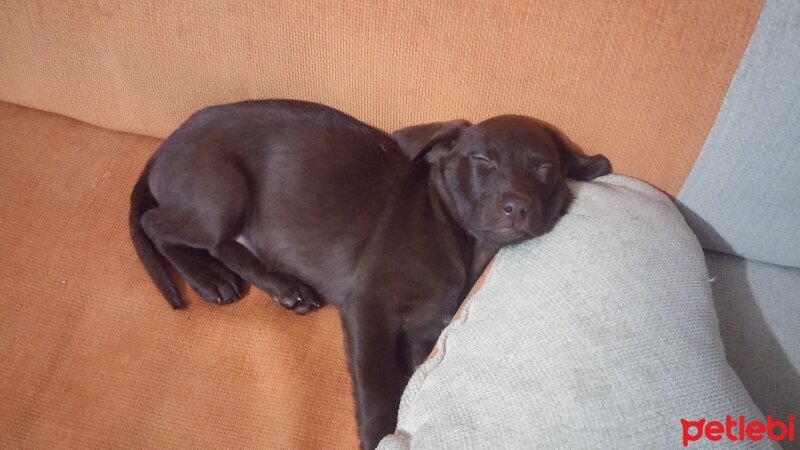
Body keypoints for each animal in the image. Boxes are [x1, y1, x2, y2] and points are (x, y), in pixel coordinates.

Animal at [128, 99, 608, 450]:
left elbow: (412, 381)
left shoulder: (422, 334)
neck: (459, 240)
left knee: (225, 243)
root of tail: (163, 147)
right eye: (482, 161)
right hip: (221, 189)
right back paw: (209, 278)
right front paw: (379, 435)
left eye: (545, 168)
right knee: (161, 225)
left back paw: (284, 287)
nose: (517, 207)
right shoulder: (369, 309)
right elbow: (380, 389)